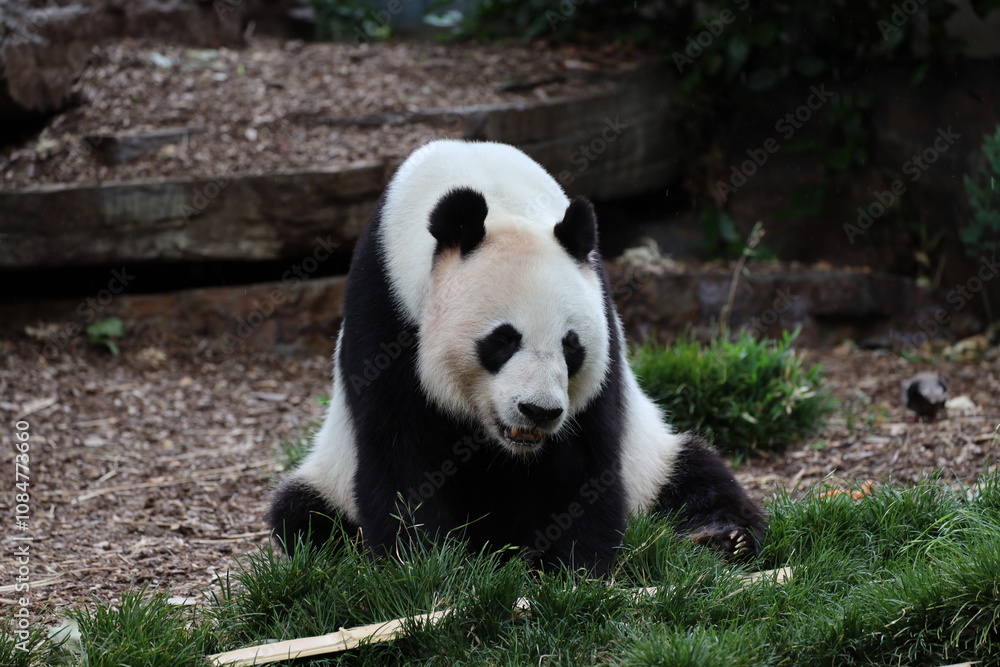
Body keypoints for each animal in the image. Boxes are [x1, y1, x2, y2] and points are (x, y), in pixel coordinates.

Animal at [269, 140, 766, 574]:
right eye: (503, 340)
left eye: (571, 345)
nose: (538, 410)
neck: (495, 195)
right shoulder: (386, 313)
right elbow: (400, 449)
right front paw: (423, 565)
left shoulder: (600, 323)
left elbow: (582, 460)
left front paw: (573, 570)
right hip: (329, 475)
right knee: (301, 516)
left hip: (651, 458)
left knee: (696, 475)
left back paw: (723, 538)